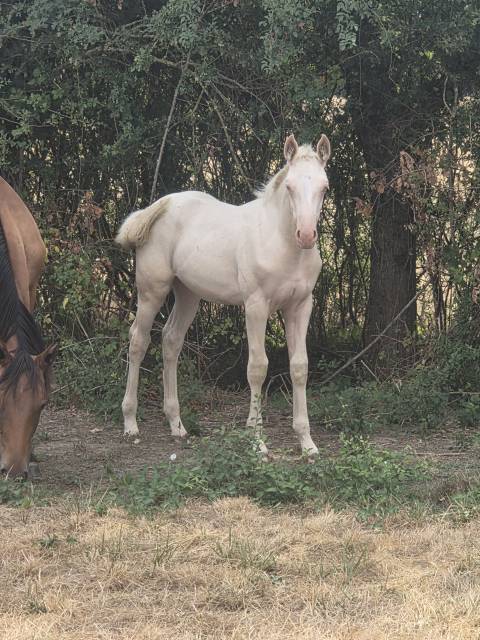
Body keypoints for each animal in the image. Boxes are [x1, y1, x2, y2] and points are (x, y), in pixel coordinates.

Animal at [116, 134, 330, 455]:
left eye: (324, 187)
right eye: (290, 187)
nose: (305, 235)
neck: (281, 243)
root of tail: (159, 206)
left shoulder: (301, 306)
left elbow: (300, 367)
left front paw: (307, 443)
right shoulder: (256, 306)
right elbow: (257, 367)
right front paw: (257, 440)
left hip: (188, 294)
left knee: (171, 340)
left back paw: (177, 424)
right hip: (152, 290)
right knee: (138, 341)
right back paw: (130, 422)